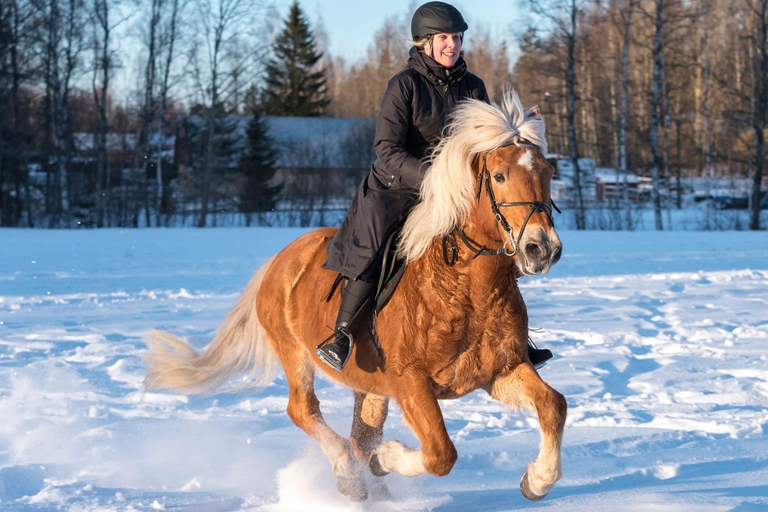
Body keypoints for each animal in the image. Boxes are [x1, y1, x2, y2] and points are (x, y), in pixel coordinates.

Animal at [144, 91, 568, 504]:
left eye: (548, 174)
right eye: (498, 175)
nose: (541, 248)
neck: (466, 291)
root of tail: (279, 260)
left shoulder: (502, 370)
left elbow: (554, 406)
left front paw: (537, 481)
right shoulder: (410, 381)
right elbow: (440, 453)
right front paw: (388, 458)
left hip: (370, 386)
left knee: (359, 434)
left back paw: (379, 493)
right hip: (296, 353)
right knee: (305, 411)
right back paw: (349, 477)